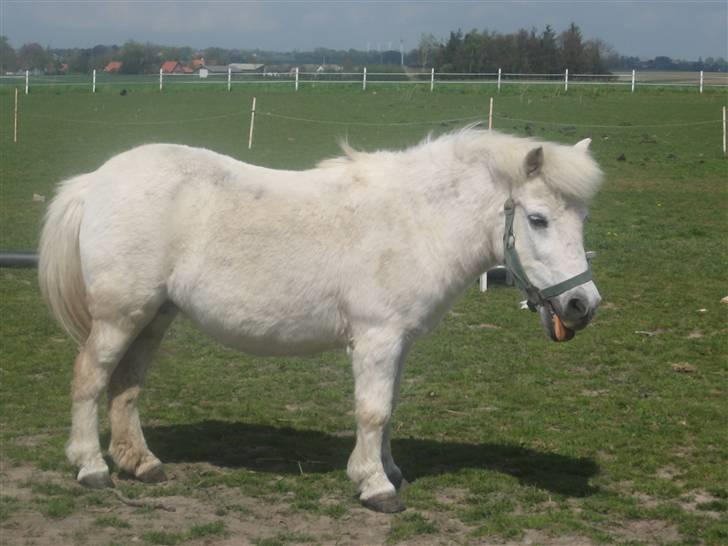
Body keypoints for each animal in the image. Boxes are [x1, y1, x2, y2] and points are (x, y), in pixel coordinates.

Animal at [38, 127, 604, 510]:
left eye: (583, 218)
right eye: (538, 219)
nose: (583, 306)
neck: (414, 221)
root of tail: (96, 182)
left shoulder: (397, 344)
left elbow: (389, 409)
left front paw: (389, 470)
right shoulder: (377, 339)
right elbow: (372, 412)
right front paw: (375, 486)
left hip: (152, 317)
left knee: (127, 386)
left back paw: (142, 463)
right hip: (119, 317)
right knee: (90, 379)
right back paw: (91, 468)